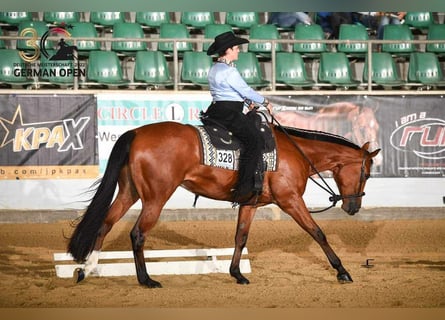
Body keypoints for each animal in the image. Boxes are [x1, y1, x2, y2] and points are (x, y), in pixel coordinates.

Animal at [67, 119, 380, 288]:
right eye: (366, 173)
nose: (353, 207)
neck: (296, 152)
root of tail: (137, 133)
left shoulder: (250, 205)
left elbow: (240, 237)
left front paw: (237, 274)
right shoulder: (290, 200)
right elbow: (318, 232)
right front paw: (342, 271)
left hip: (129, 192)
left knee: (105, 224)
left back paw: (87, 269)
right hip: (155, 198)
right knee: (137, 234)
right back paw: (146, 280)